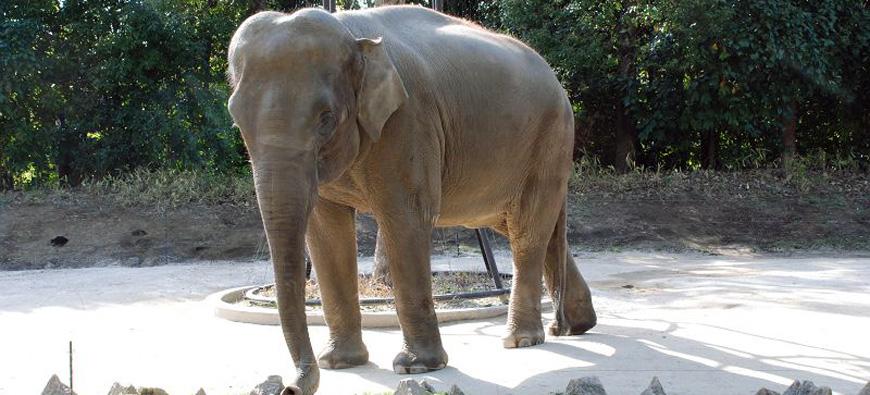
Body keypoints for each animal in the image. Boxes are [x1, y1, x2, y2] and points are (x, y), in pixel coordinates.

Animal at [227, 4, 600, 394]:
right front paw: (339, 363)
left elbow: (405, 218)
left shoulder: (407, 122)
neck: (352, 34)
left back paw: (521, 340)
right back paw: (574, 325)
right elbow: (326, 233)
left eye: (325, 118)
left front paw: (415, 366)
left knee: (527, 230)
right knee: (526, 226)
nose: (290, 386)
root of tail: (556, 80)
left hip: (550, 139)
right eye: (237, 121)